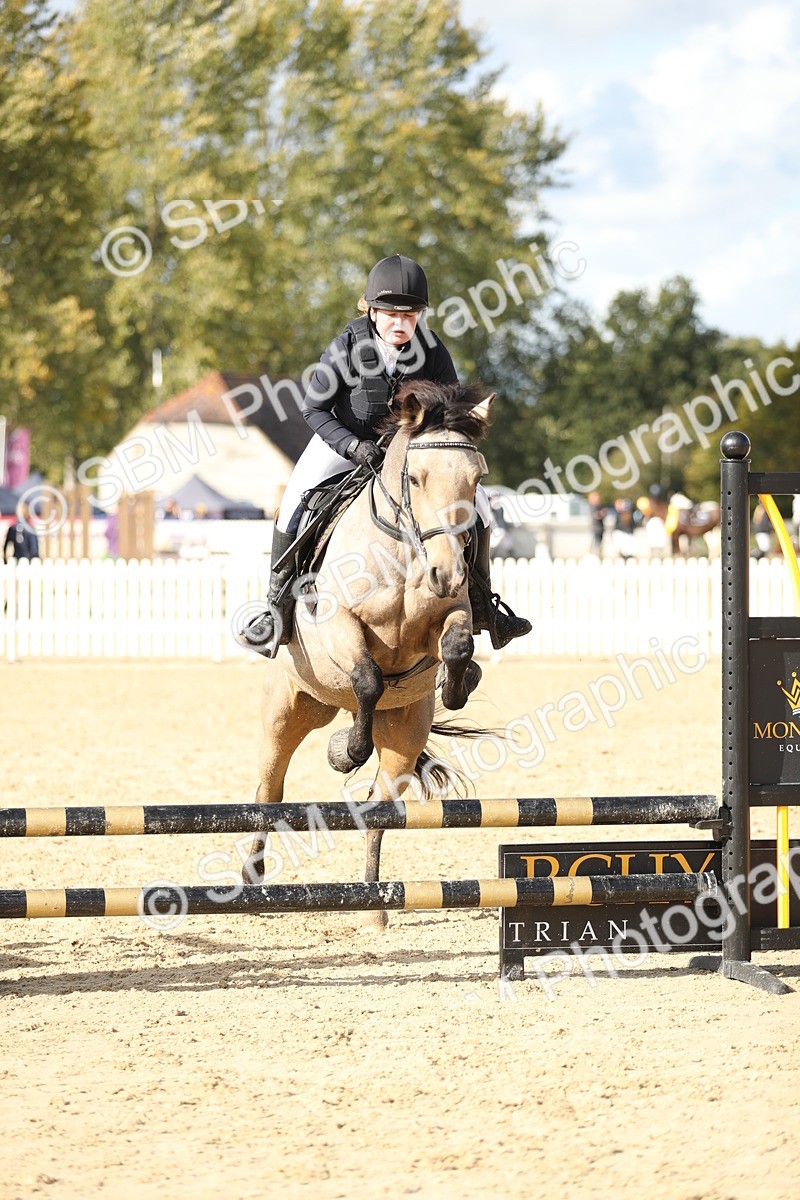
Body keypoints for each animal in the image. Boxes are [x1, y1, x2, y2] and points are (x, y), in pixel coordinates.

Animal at [243, 380, 494, 928]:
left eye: (476, 478)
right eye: (416, 478)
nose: (448, 574)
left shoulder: (451, 616)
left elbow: (457, 644)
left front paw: (459, 684)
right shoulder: (338, 622)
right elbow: (368, 678)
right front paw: (349, 751)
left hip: (403, 734)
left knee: (379, 812)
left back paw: (375, 906)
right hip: (286, 709)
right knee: (268, 791)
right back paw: (251, 881)